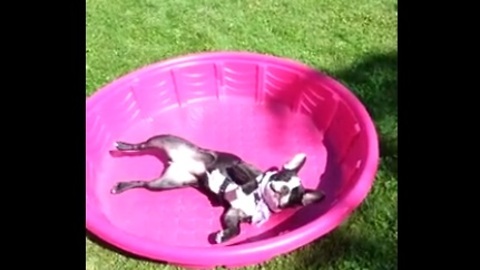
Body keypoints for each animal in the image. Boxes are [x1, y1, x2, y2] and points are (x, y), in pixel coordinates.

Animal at [110, 134, 324, 244]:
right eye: (282, 178)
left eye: (293, 193)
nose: (281, 187)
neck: (260, 198)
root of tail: (176, 162)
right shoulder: (240, 168)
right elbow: (248, 177)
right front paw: (250, 182)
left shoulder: (232, 213)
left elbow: (235, 229)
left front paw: (223, 236)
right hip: (163, 140)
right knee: (141, 145)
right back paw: (123, 146)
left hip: (165, 183)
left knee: (143, 183)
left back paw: (122, 185)